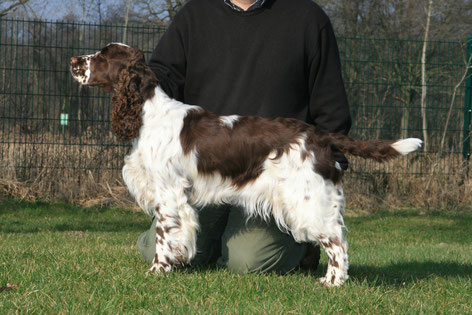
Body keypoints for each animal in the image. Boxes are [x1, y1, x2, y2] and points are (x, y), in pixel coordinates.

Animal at [69, 43, 420, 288]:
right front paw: (176, 265)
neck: (146, 113)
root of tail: (318, 135)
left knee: (338, 241)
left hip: (307, 199)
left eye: (103, 56)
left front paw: (158, 270)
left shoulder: (167, 193)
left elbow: (164, 235)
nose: (73, 61)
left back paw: (333, 282)